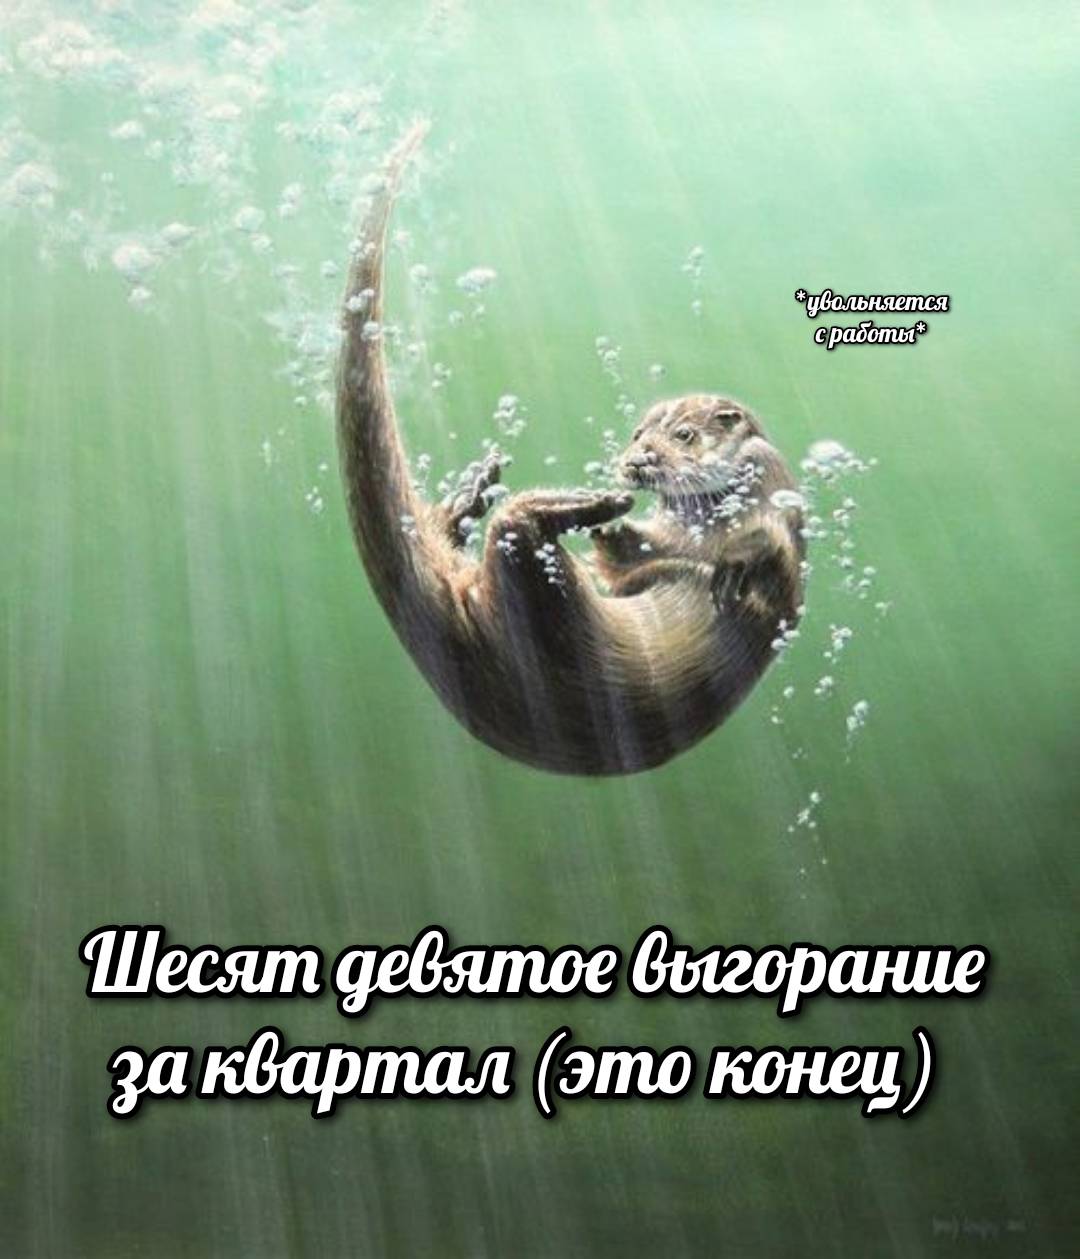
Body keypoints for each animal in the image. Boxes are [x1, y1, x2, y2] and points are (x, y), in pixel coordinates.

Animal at [336, 124, 805, 775]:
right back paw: (516, 504)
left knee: (515, 540)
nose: (635, 461)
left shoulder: (774, 510)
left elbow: (758, 552)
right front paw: (622, 537)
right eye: (638, 433)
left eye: (683, 436)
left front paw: (723, 564)